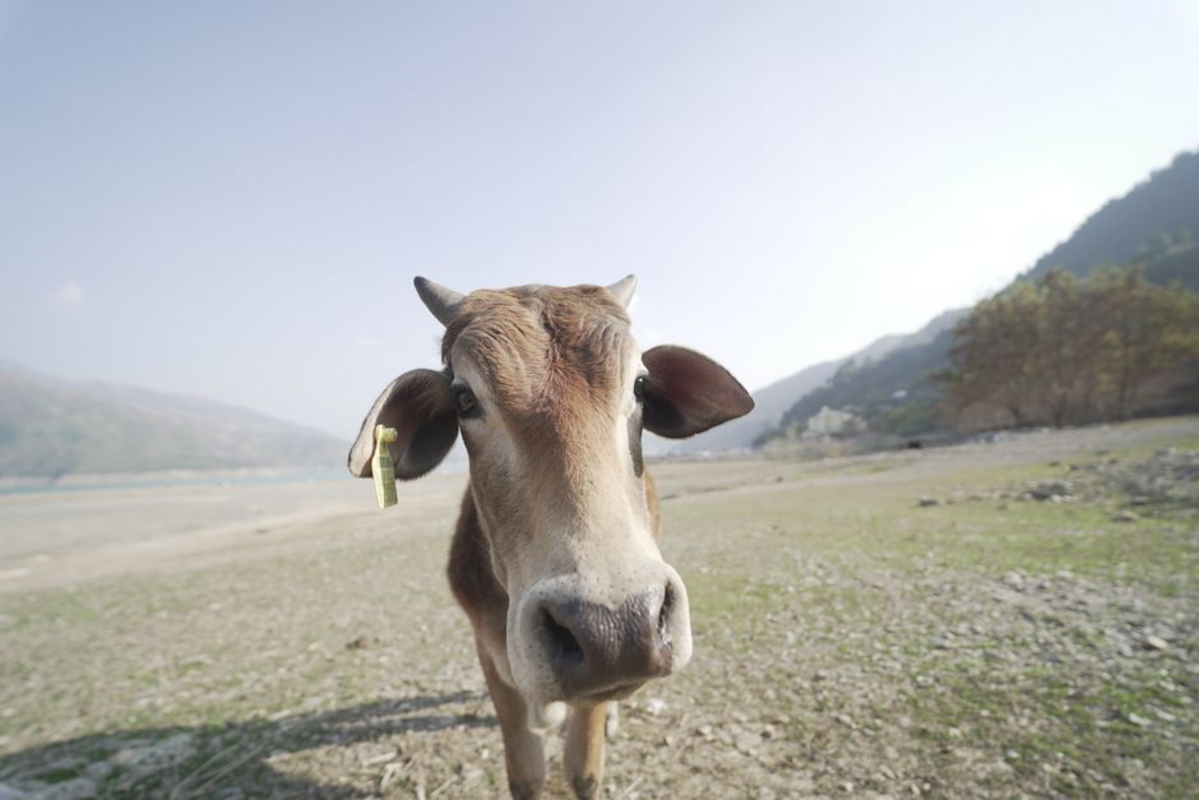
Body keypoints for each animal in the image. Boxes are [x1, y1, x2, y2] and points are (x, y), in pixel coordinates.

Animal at [348, 276, 753, 798]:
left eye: (640, 385)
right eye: (464, 398)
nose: (616, 627)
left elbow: (582, 769)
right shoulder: (489, 651)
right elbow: (525, 772)